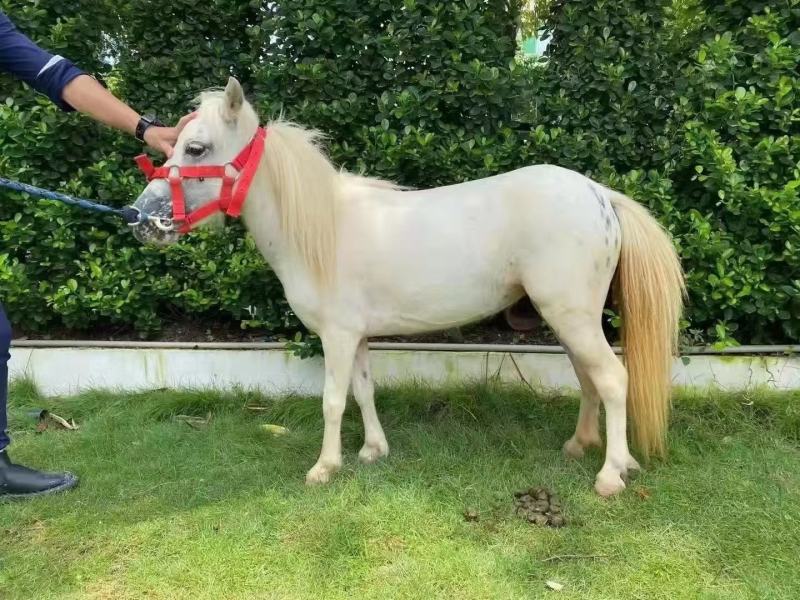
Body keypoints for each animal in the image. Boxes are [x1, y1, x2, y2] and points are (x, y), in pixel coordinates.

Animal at [131, 77, 684, 496]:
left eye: (196, 148)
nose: (142, 219)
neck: (324, 227)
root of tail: (599, 193)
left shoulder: (336, 336)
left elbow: (333, 400)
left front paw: (324, 467)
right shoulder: (355, 337)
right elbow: (363, 391)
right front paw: (373, 450)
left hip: (572, 317)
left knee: (612, 379)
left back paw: (611, 473)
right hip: (571, 321)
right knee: (590, 380)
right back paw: (580, 446)